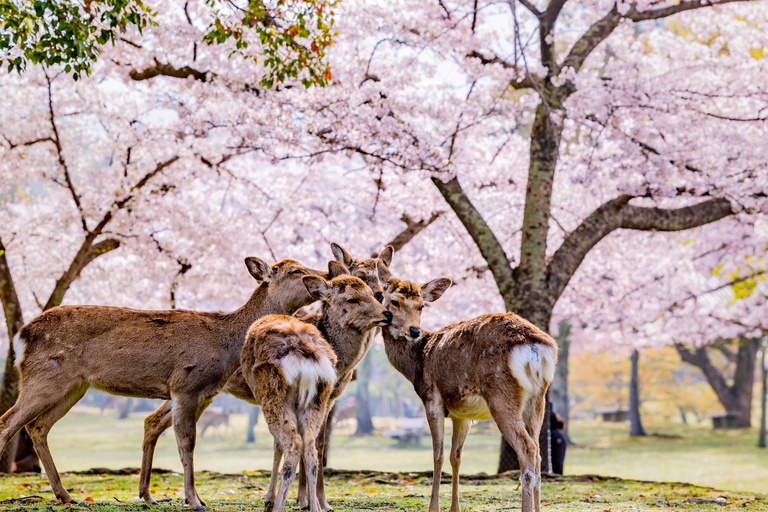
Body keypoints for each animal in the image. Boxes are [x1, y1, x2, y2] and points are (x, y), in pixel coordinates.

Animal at [0, 258, 326, 510]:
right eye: (295, 270)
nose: (322, 276)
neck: (225, 343)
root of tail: (22, 336)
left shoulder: (200, 392)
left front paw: (187, 498)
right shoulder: (185, 384)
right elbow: (187, 442)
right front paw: (194, 501)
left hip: (74, 386)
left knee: (38, 426)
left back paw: (66, 496)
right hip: (44, 377)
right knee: (9, 421)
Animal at [243, 264, 392, 512]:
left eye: (376, 294)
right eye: (352, 299)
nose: (386, 314)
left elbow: (282, 446)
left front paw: (277, 499)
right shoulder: (329, 397)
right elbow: (315, 445)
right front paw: (311, 501)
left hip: (273, 394)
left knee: (294, 444)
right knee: (309, 447)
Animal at [376, 264, 560, 512]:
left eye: (421, 305)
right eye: (394, 301)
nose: (414, 330)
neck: (416, 362)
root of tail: (536, 347)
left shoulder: (431, 398)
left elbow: (437, 455)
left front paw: (433, 507)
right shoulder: (461, 414)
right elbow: (456, 456)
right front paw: (455, 508)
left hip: (501, 394)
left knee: (527, 449)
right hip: (538, 398)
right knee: (538, 453)